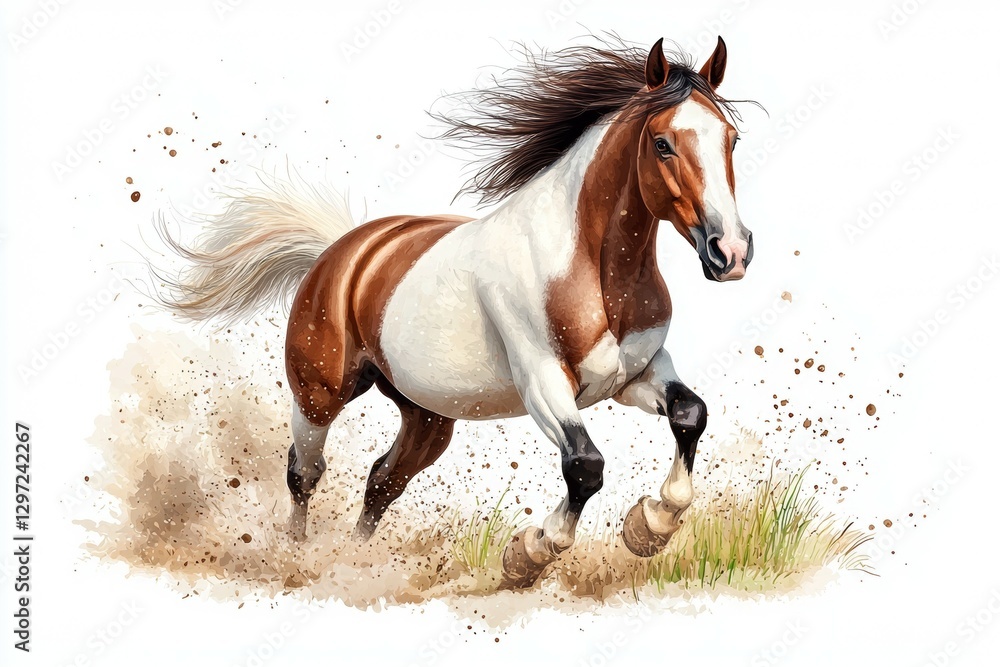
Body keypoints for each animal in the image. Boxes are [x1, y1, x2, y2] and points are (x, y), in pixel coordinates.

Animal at [155, 36, 754, 588]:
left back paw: (357, 563)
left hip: (426, 416)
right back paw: (297, 562)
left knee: (382, 479)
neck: (592, 269)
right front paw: (528, 555)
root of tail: (341, 253)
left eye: (732, 138)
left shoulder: (634, 376)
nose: (730, 253)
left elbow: (690, 414)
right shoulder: (542, 382)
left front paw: (652, 525)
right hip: (319, 395)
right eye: (662, 143)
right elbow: (585, 466)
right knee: (305, 472)